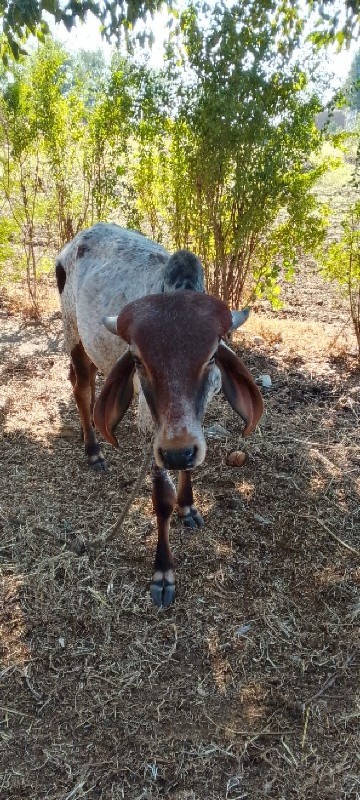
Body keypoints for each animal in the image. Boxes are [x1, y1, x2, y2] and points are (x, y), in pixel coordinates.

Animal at [56, 222, 264, 608]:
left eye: (212, 355)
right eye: (138, 360)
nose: (177, 451)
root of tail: (79, 238)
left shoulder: (188, 428)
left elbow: (189, 465)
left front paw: (189, 506)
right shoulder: (151, 429)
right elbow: (161, 499)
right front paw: (164, 571)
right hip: (73, 334)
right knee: (81, 388)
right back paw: (93, 450)